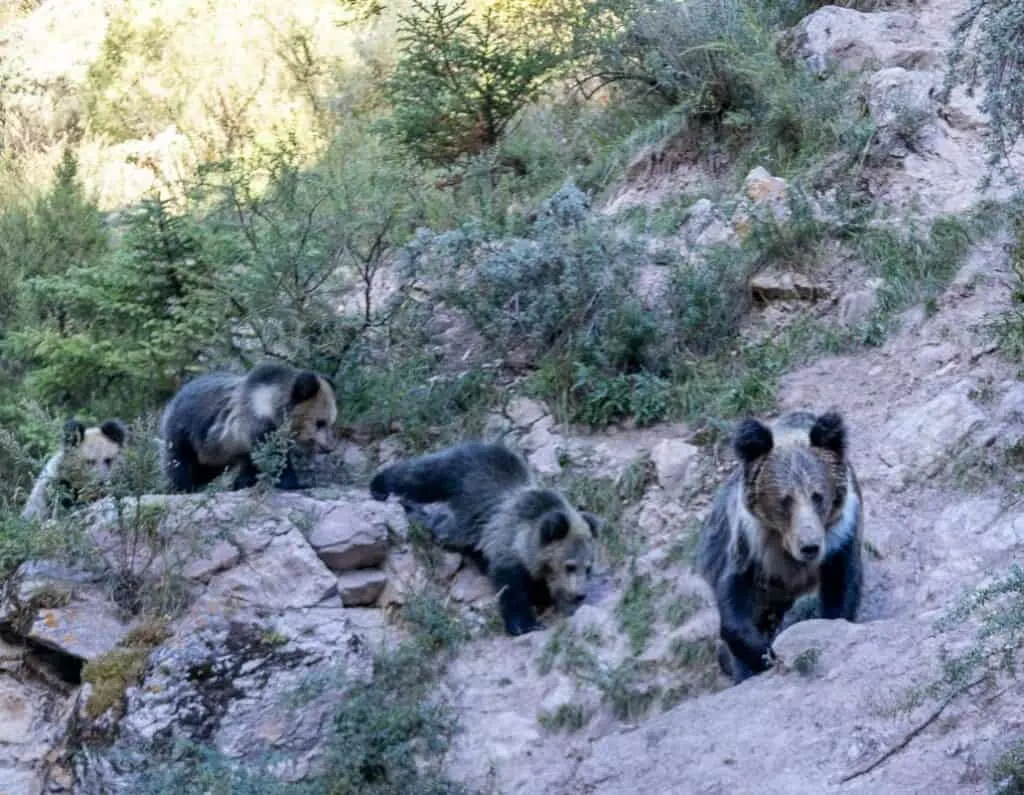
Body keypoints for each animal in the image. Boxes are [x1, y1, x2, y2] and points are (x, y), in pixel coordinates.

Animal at [159, 360, 338, 493]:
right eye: (320, 422)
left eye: (331, 422)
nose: (329, 447)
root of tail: (175, 397)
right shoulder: (255, 423)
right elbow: (273, 457)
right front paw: (297, 483)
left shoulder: (243, 443)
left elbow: (252, 462)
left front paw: (243, 483)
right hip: (187, 430)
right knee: (180, 460)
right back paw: (183, 487)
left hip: (214, 451)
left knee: (206, 469)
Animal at [369, 441, 602, 636]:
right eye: (570, 566)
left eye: (588, 567)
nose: (580, 594)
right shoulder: (505, 542)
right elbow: (511, 588)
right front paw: (525, 623)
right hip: (460, 476)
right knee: (421, 477)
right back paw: (382, 487)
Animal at [696, 409, 863, 684]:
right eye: (785, 500)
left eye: (818, 496)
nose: (810, 547)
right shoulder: (750, 543)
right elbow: (734, 598)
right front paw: (762, 654)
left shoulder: (841, 536)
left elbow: (841, 588)